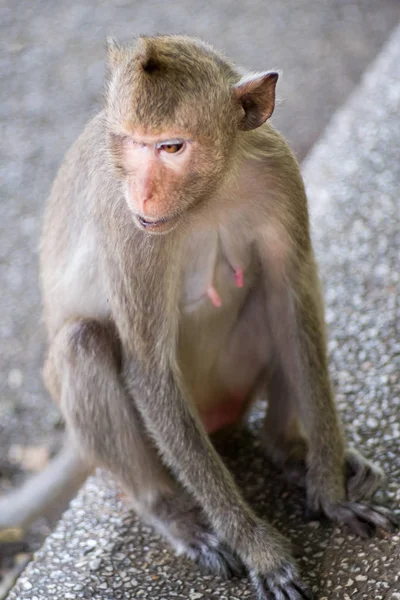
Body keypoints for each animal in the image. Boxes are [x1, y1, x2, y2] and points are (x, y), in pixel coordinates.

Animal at [0, 35, 396, 596]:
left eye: (171, 147)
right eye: (130, 142)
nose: (143, 192)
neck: (209, 195)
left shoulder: (278, 171)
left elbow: (293, 300)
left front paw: (331, 492)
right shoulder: (130, 228)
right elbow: (148, 367)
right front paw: (259, 548)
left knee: (275, 298)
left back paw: (287, 451)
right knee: (82, 342)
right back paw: (174, 515)